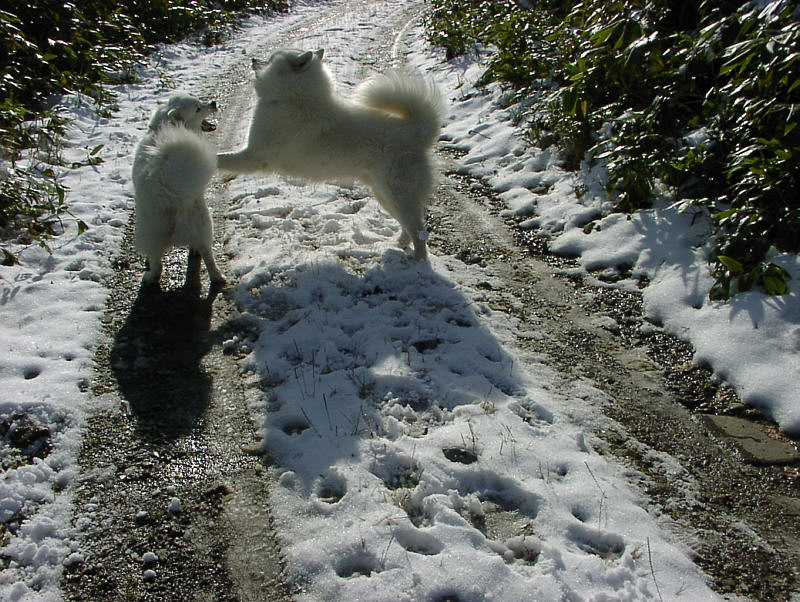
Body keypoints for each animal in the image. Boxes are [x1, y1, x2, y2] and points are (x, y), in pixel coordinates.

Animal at [132, 94, 225, 288]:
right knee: (207, 253)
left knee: (157, 263)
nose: (213, 103)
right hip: (202, 222)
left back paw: (149, 277)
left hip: (151, 231)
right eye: (198, 108)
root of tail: (168, 187)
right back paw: (216, 276)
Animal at [217, 49, 444, 260]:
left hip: (397, 194)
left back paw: (418, 261)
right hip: (384, 195)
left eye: (272, 58)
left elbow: (221, 157)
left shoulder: (253, 156)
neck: (294, 97)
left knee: (418, 230)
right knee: (409, 226)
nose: (254, 59)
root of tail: (415, 130)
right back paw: (399, 245)